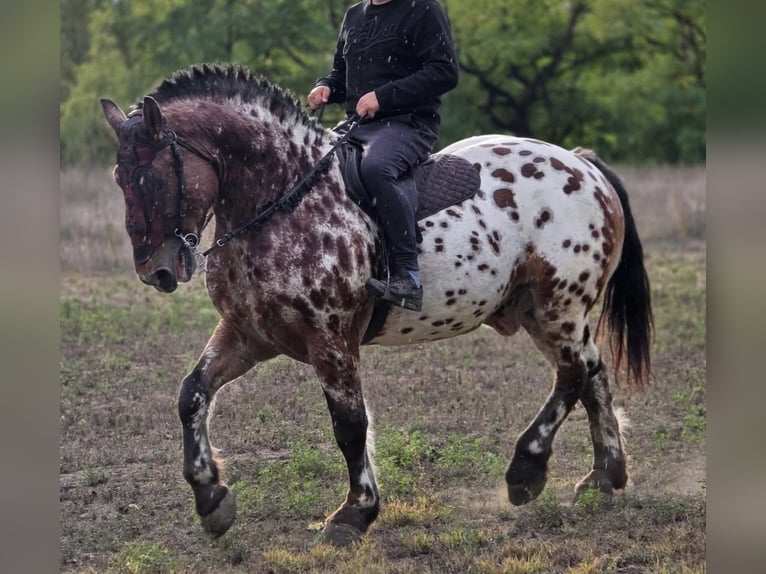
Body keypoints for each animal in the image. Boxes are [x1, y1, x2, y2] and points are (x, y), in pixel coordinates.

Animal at [99, 63, 652, 545]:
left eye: (151, 178)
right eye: (119, 179)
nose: (157, 272)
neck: (283, 200)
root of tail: (583, 165)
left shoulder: (331, 341)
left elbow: (350, 426)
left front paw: (355, 513)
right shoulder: (248, 335)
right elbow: (192, 395)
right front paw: (211, 498)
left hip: (559, 305)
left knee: (574, 375)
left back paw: (526, 471)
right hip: (543, 313)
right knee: (592, 372)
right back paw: (604, 476)